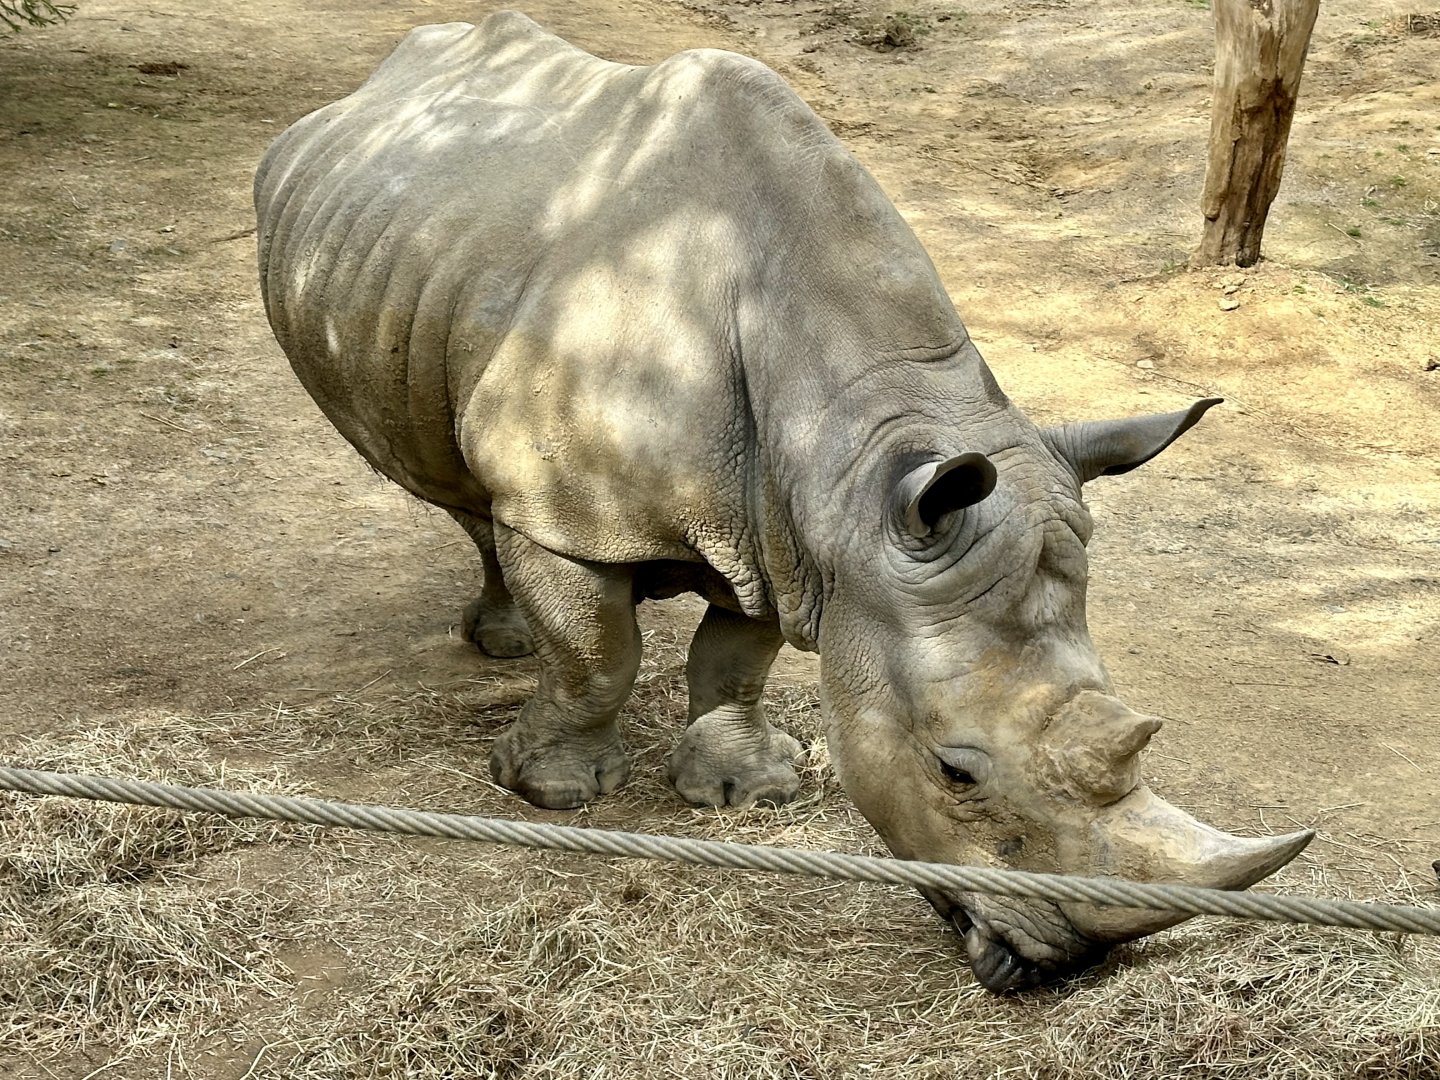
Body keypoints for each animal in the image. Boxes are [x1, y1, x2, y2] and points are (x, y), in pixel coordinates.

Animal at [254, 11, 1311, 992]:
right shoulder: (587, 517)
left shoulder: (788, 529)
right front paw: (550, 793)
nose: (1061, 967)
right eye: (953, 773)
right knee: (475, 495)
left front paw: (744, 792)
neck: (852, 446)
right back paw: (508, 643)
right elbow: (598, 654)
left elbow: (735, 658)